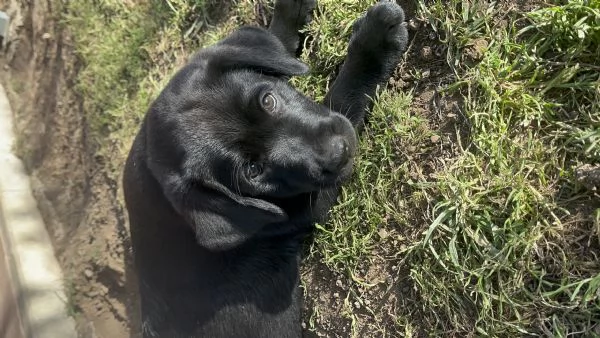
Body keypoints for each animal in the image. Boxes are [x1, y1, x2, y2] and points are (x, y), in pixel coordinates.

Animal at [125, 1, 410, 336]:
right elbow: (343, 98)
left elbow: (277, 42)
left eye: (268, 100)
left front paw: (289, 12)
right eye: (253, 170)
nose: (337, 153)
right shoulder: (307, 204)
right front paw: (375, 43)